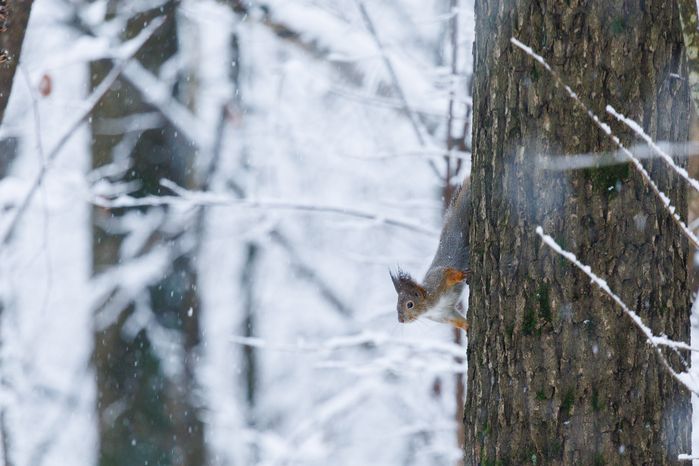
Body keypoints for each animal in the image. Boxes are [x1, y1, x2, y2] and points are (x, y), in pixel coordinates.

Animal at [390, 182, 471, 331]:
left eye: (409, 304)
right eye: (397, 304)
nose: (400, 320)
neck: (430, 307)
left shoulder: (437, 281)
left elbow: (448, 273)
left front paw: (462, 275)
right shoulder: (444, 314)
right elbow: (457, 321)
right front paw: (468, 326)